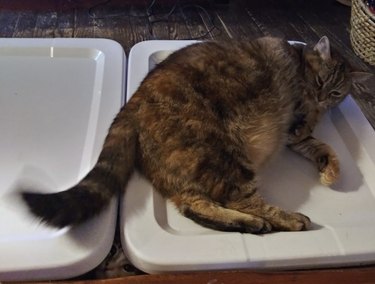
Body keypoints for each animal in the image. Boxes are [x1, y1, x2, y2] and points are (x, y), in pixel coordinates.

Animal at [22, 35, 374, 234]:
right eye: (319, 82)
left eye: (336, 92)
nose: (321, 98)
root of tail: (132, 103)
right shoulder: (296, 117)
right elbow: (306, 130)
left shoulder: (300, 137)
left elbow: (320, 145)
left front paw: (330, 168)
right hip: (222, 154)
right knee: (241, 200)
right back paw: (287, 219)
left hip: (194, 166)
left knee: (193, 205)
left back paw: (246, 223)